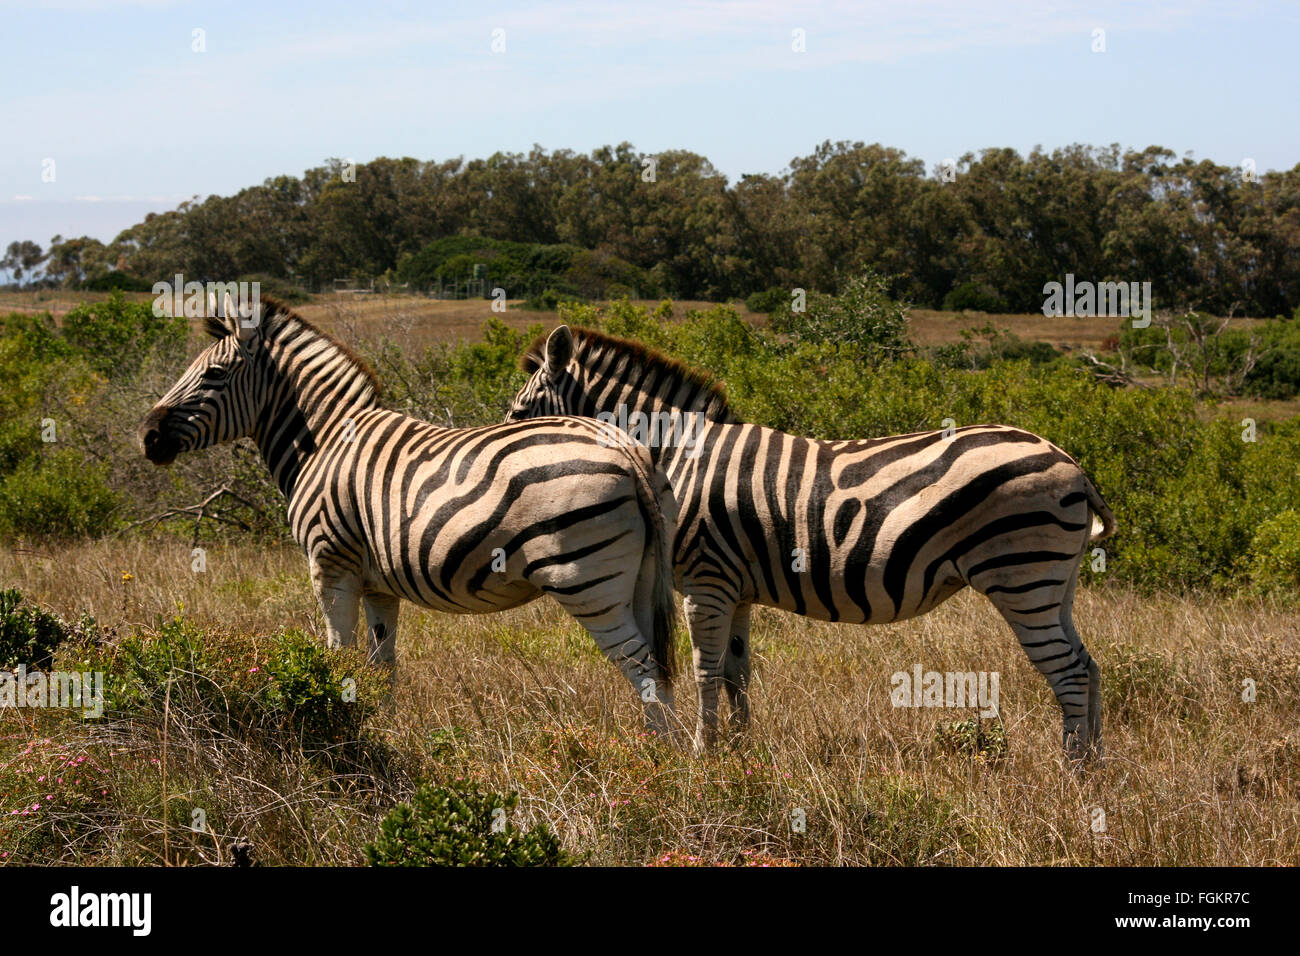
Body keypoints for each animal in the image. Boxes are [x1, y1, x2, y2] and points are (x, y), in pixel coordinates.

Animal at [135, 295, 681, 738]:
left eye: (214, 375)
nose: (147, 436)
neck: (325, 441)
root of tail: (627, 449)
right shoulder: (378, 585)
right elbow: (383, 666)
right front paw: (380, 730)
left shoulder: (330, 565)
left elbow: (336, 656)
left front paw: (334, 725)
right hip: (639, 576)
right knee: (659, 667)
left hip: (587, 580)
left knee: (643, 669)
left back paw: (662, 761)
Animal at [506, 327, 1118, 764]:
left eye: (516, 413)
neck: (676, 458)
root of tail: (1071, 463)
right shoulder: (737, 589)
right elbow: (736, 672)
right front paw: (741, 754)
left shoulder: (706, 578)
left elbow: (706, 670)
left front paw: (704, 755)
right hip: (1055, 581)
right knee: (1087, 667)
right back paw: (1096, 772)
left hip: (1021, 572)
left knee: (1066, 671)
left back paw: (1070, 773)